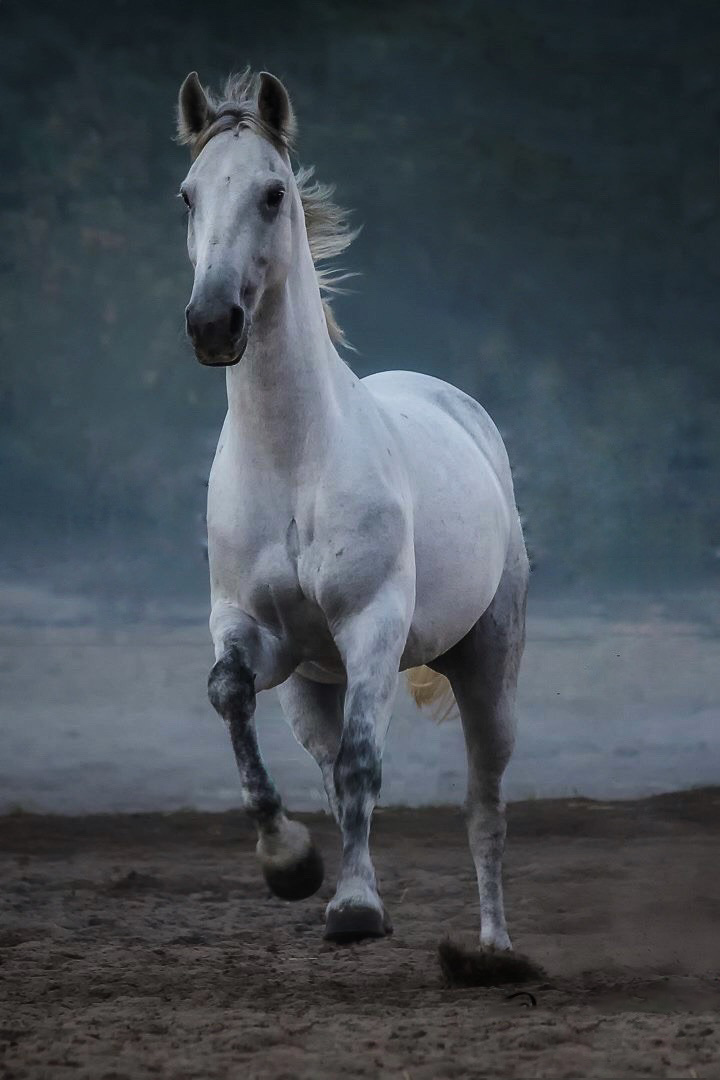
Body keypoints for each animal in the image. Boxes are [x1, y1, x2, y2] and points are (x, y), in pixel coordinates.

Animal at [174, 69, 528, 946]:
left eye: (272, 193)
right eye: (188, 195)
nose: (211, 323)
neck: (292, 463)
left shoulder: (373, 623)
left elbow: (364, 762)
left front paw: (357, 910)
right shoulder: (253, 633)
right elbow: (231, 698)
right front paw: (290, 865)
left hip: (488, 664)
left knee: (485, 806)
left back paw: (496, 951)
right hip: (312, 687)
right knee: (334, 771)